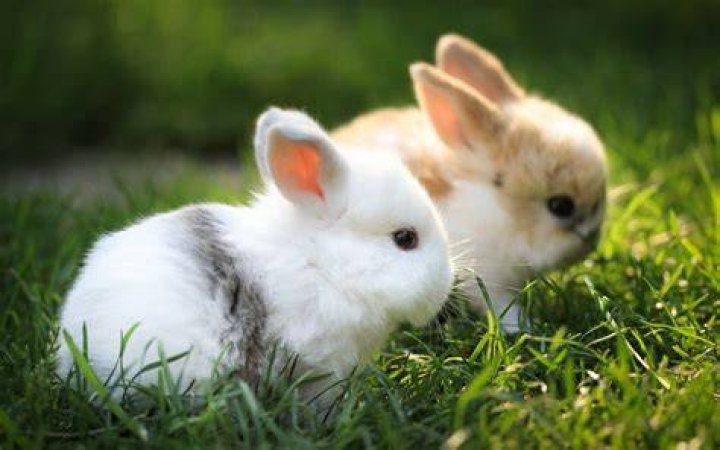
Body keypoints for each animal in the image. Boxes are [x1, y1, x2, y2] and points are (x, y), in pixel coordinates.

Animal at [333, 34, 608, 333]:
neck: (496, 209)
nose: (591, 240)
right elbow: (500, 305)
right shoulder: (485, 278)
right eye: (560, 205)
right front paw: (523, 328)